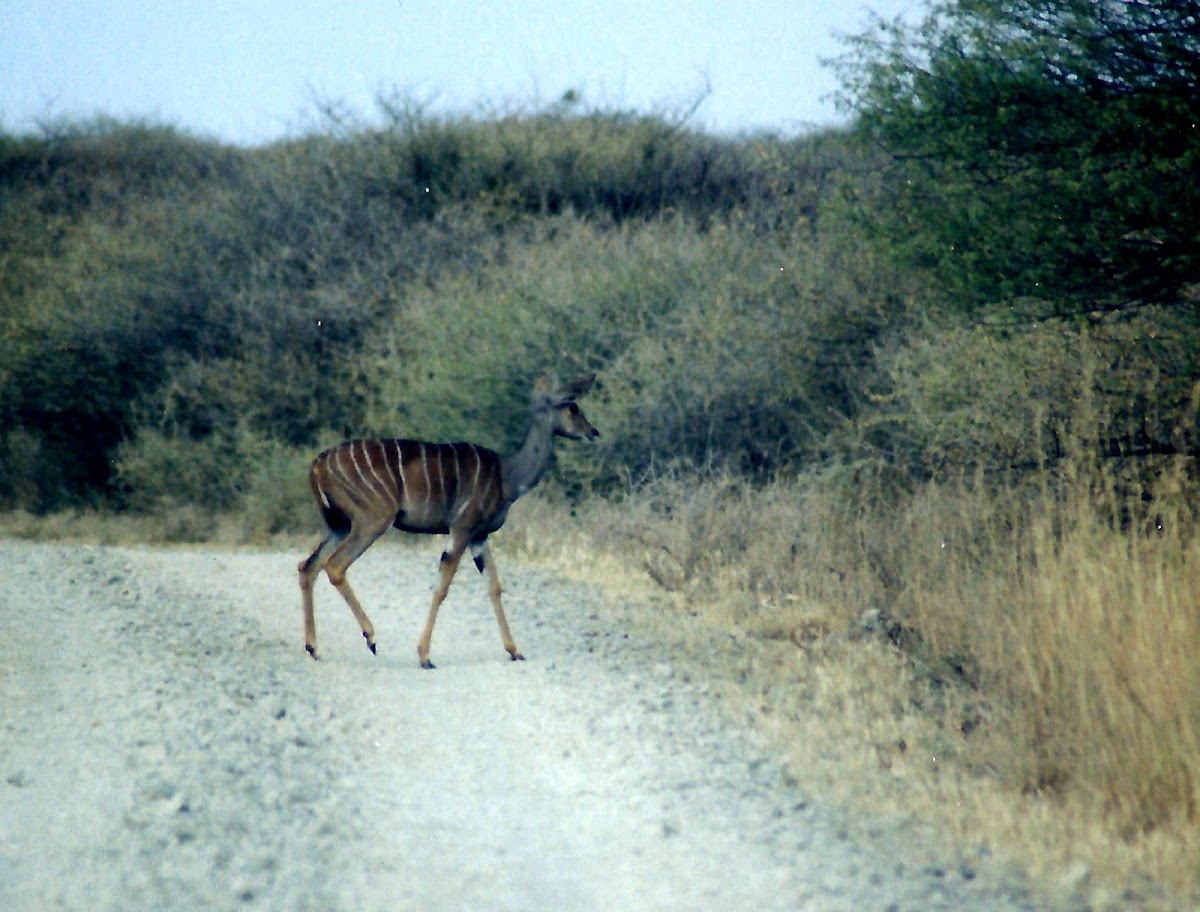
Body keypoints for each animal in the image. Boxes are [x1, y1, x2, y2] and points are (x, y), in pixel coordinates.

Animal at [297, 372, 597, 672]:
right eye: (572, 407)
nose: (593, 432)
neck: (507, 476)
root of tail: (318, 464)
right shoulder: (462, 528)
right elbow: (441, 588)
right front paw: (425, 657)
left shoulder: (479, 536)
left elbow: (494, 587)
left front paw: (515, 651)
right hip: (373, 519)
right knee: (334, 565)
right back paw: (371, 638)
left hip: (340, 525)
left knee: (308, 566)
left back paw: (313, 648)